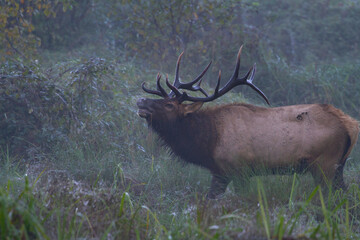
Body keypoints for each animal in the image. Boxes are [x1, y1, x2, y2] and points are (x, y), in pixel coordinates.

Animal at [136, 46, 358, 198]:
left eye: (169, 105)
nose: (141, 101)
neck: (209, 142)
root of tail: (351, 124)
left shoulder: (238, 169)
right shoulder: (220, 172)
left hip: (325, 164)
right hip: (339, 166)